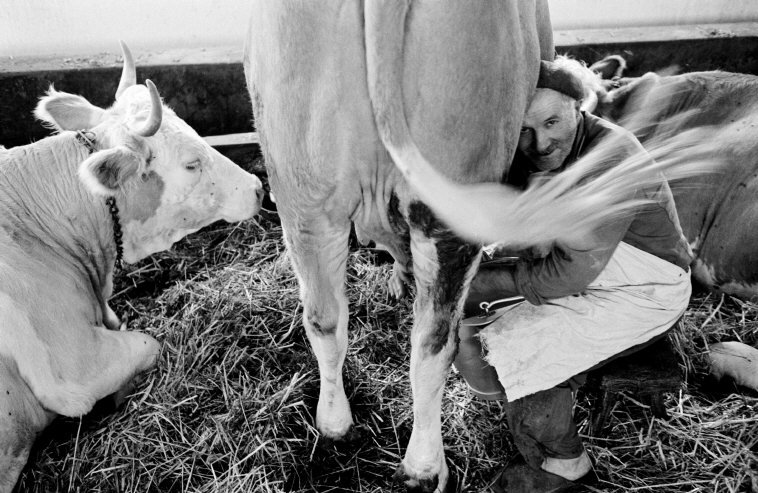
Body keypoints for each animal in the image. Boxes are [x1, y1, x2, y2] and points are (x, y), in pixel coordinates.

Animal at [248, 2, 724, 488]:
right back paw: (425, 468)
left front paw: (399, 279)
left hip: (304, 197)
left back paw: (335, 426)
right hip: (445, 204)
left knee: (325, 321)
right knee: (433, 343)